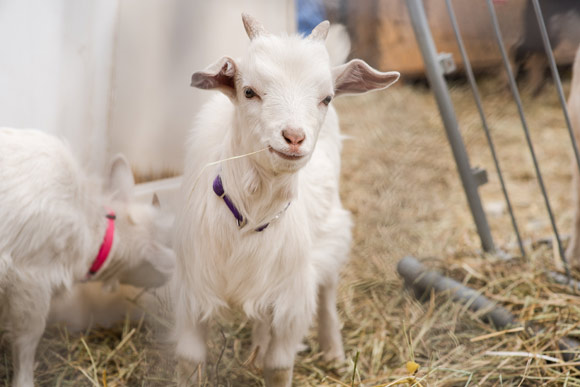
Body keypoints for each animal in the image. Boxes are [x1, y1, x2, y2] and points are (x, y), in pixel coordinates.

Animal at [172, 13, 398, 386]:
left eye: (326, 98)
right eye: (248, 91)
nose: (293, 137)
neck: (250, 214)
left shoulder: (291, 296)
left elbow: (278, 367)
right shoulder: (192, 291)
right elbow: (190, 362)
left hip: (331, 232)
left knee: (327, 292)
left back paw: (334, 352)